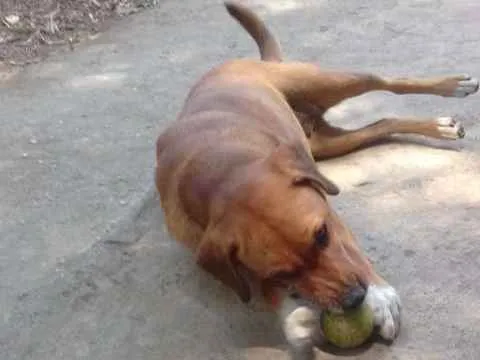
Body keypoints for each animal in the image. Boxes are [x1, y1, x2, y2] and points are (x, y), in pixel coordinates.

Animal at [156, 2, 478, 358]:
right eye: (283, 273)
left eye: (321, 235)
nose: (354, 299)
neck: (222, 171)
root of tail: (256, 63)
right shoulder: (240, 265)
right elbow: (266, 291)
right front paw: (294, 324)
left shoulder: (328, 213)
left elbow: (352, 251)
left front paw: (379, 297)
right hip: (328, 142)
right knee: (383, 123)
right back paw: (438, 126)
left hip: (324, 81)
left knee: (386, 80)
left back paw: (452, 87)